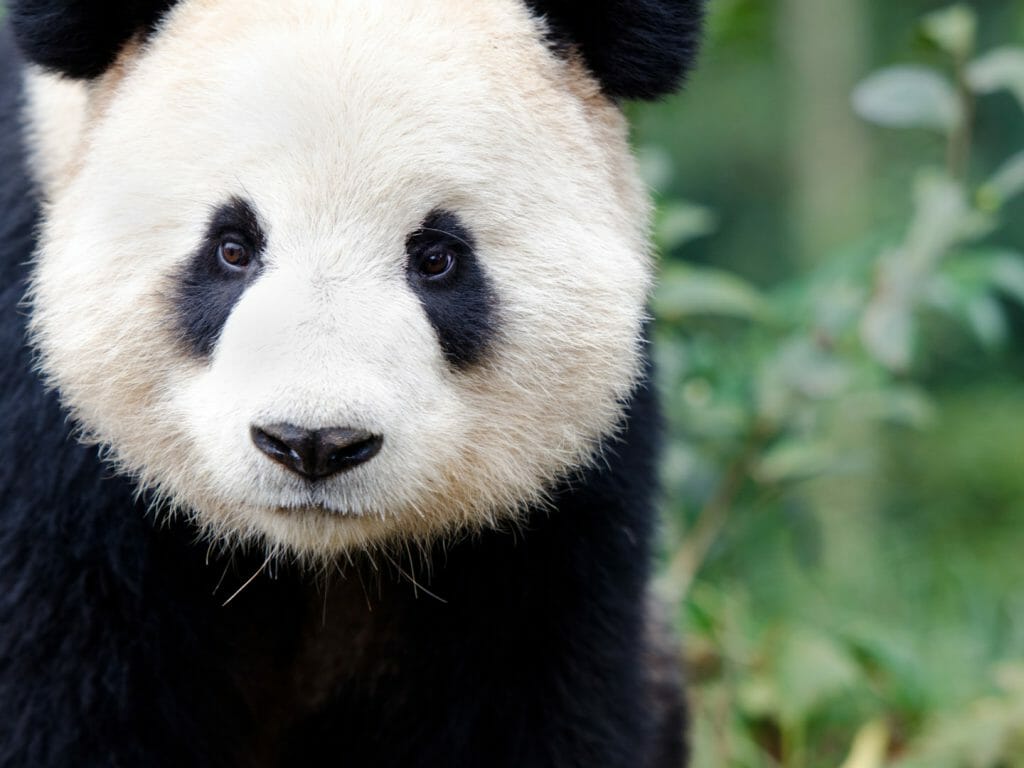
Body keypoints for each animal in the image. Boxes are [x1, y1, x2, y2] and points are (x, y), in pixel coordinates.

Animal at [0, 1, 703, 766]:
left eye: (437, 258)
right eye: (232, 248)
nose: (314, 444)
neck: (308, 558)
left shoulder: (554, 524)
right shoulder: (58, 482)